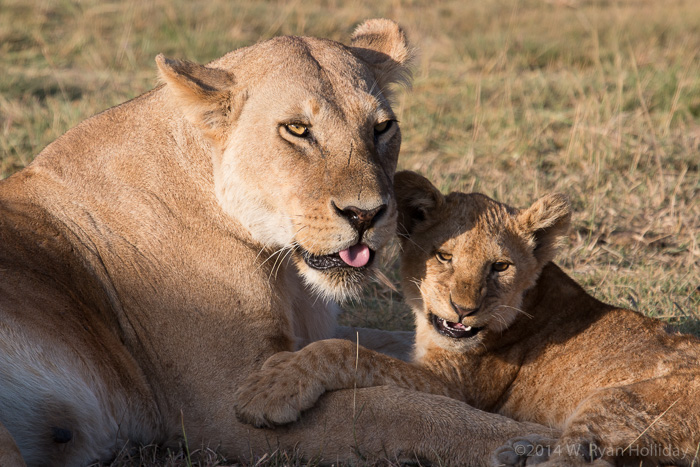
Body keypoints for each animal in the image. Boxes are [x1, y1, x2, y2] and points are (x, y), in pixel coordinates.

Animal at [0, 20, 556, 466]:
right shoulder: (220, 410)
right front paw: (525, 442)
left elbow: (381, 352)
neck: (285, 266)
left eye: (382, 127)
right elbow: (388, 409)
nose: (366, 215)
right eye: (296, 129)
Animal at [235, 171, 700, 467]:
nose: (464, 309)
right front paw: (278, 367)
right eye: (444, 256)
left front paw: (269, 390)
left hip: (614, 403)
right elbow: (364, 343)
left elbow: (344, 351)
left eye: (500, 266)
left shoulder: (454, 389)